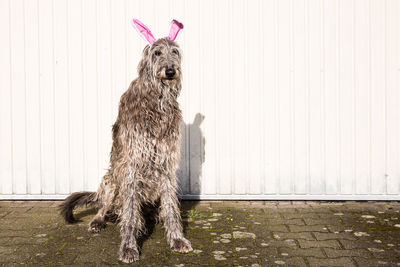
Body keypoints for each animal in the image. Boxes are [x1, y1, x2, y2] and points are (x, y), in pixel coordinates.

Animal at [58, 19, 193, 264]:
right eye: (157, 52)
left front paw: (177, 238)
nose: (170, 71)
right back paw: (99, 220)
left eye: (175, 52)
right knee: (106, 207)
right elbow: (130, 214)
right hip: (111, 179)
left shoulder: (167, 164)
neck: (157, 102)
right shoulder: (131, 164)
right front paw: (129, 246)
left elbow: (171, 207)